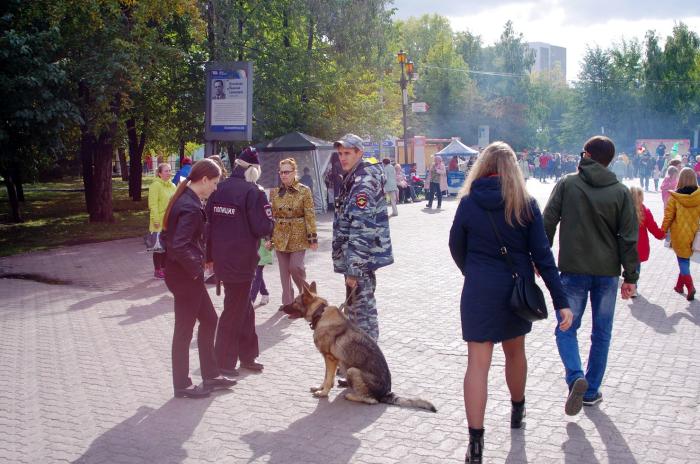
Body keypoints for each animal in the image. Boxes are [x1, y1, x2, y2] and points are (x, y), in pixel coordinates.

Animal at [280, 280, 434, 412]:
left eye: (294, 301)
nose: (281, 307)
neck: (320, 313)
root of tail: (387, 392)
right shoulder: (329, 360)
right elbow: (326, 377)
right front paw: (320, 387)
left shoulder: (330, 359)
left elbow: (328, 378)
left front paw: (323, 392)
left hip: (352, 370)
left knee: (372, 400)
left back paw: (351, 395)